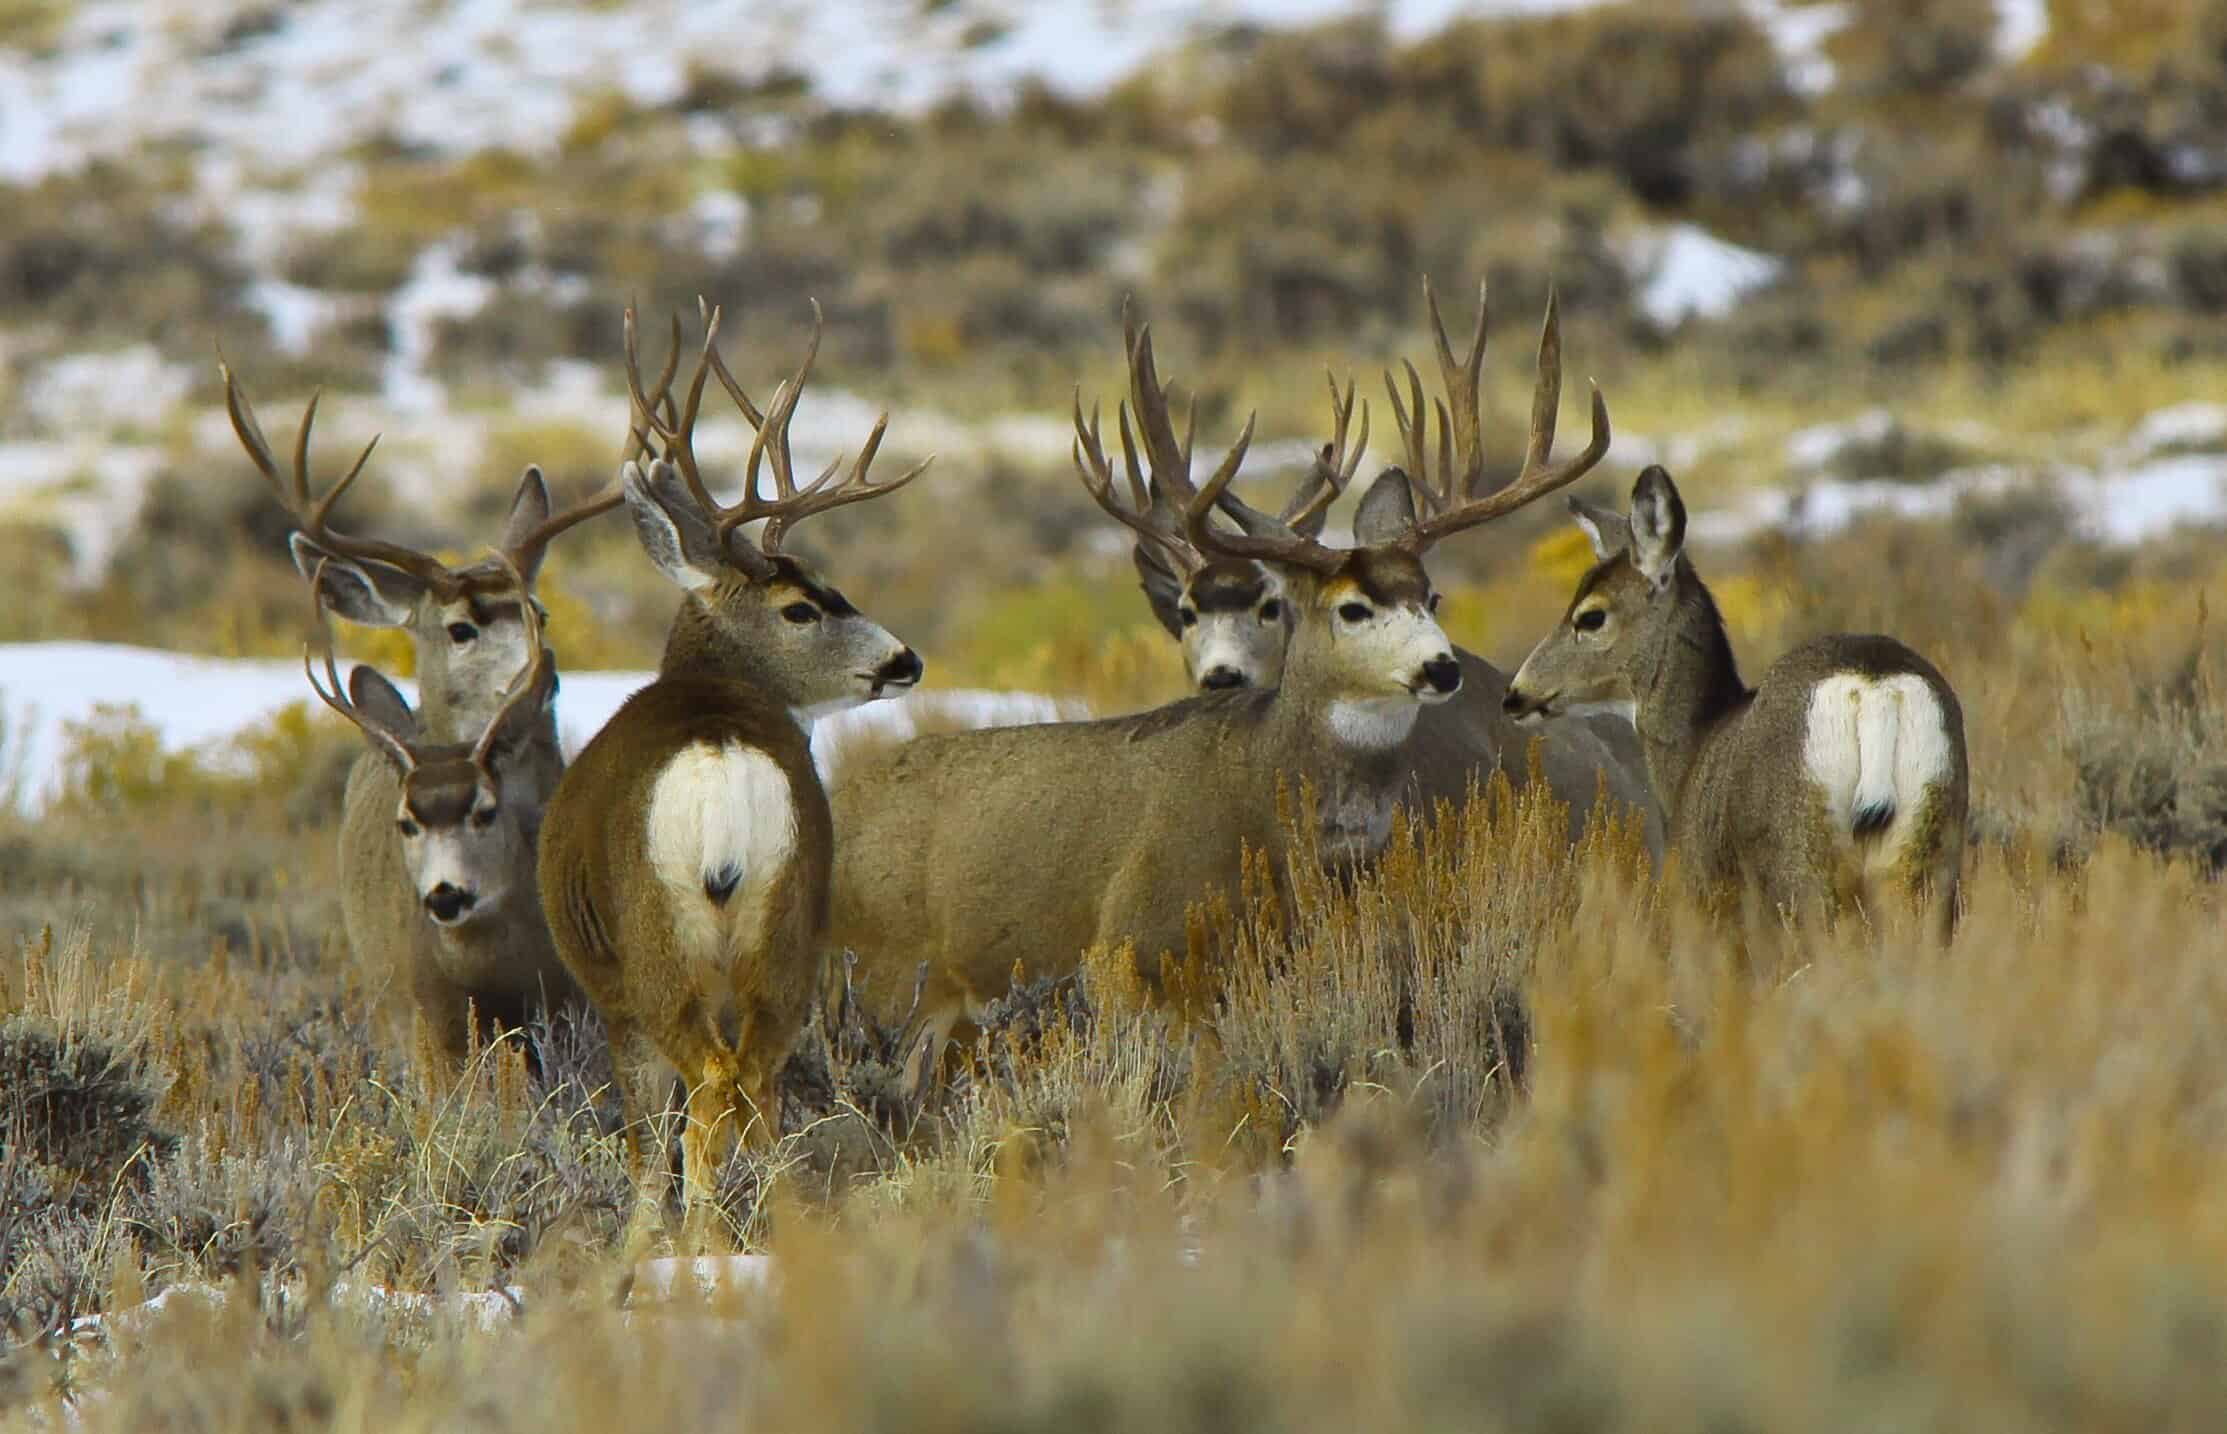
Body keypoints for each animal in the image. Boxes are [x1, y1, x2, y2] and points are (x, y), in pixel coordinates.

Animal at [538, 302, 930, 1220]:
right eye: (802, 605)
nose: (905, 661)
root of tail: (719, 760)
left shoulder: (609, 995)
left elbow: (647, 1152)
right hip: (789, 925)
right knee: (757, 1087)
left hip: (654, 947)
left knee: (711, 1091)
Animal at [1496, 465, 1968, 939]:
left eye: (1591, 617)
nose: (1516, 694)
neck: (1693, 750)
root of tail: (1874, 688)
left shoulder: (1702, 893)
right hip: (1927, 847)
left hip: (1798, 859)